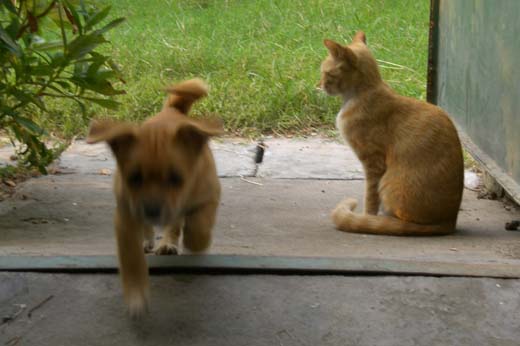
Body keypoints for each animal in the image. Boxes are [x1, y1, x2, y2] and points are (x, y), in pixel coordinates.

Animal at [86, 78, 223, 316]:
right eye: (134, 178)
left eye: (177, 178)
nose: (151, 211)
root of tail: (172, 110)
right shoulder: (126, 214)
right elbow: (130, 256)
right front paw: (135, 294)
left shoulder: (210, 196)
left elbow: (199, 226)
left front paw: (194, 240)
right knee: (152, 229)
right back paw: (151, 240)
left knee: (176, 224)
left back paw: (169, 242)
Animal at [320, 31, 464, 235]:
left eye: (326, 73)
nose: (319, 85)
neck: (362, 93)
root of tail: (449, 221)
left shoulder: (373, 163)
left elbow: (370, 199)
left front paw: (367, 218)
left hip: (387, 183)